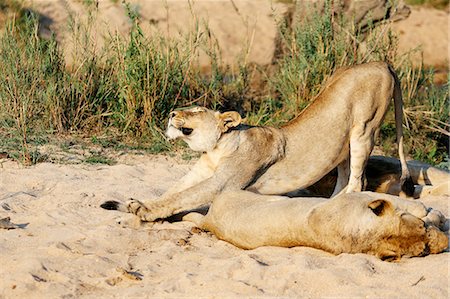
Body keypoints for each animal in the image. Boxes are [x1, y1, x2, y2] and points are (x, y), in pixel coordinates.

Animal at [103, 62, 418, 221]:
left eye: (197, 110)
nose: (171, 113)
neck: (216, 149)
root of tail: (382, 62)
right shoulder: (200, 173)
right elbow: (172, 191)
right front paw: (134, 203)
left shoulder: (224, 183)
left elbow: (183, 197)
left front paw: (144, 211)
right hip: (342, 142)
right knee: (345, 177)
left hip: (364, 128)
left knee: (357, 181)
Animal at [182, 192, 446, 260]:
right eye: (421, 228)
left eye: (424, 250)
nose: (445, 244)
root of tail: (210, 220)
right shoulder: (360, 196)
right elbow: (413, 204)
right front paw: (435, 214)